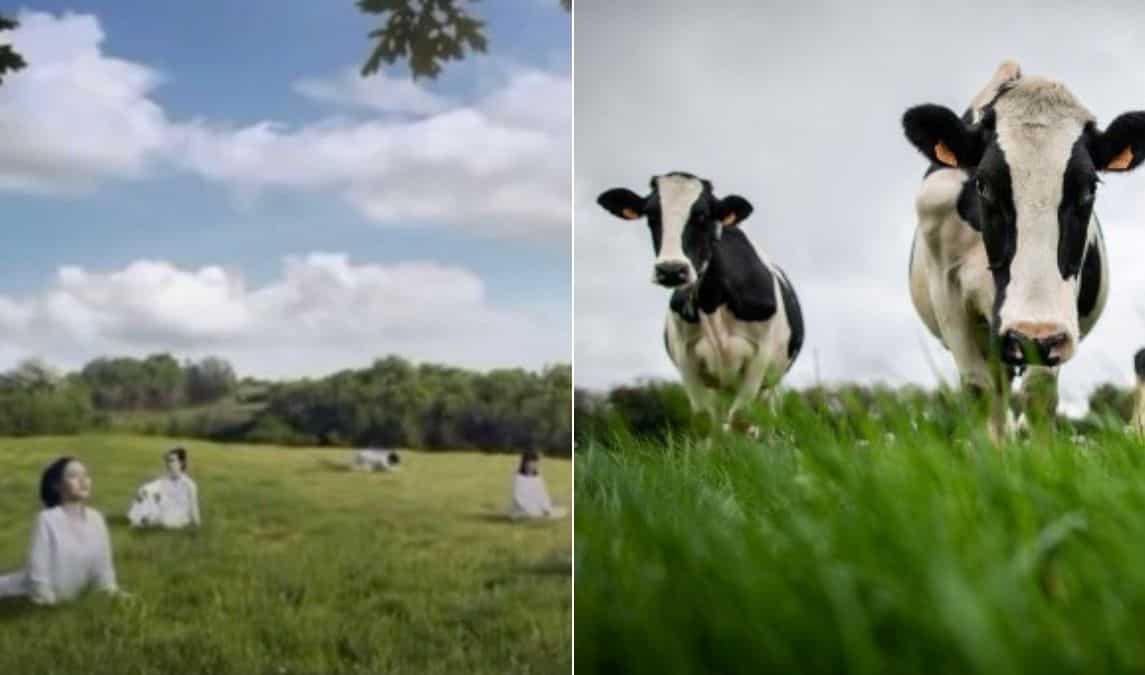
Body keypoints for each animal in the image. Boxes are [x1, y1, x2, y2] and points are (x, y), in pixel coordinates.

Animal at [597, 171, 804, 439]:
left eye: (703, 215)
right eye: (651, 216)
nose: (671, 270)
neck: (712, 301)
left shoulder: (760, 357)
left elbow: (742, 419)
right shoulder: (686, 358)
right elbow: (705, 421)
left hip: (772, 383)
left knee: (765, 419)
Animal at [902, 60, 1145, 442]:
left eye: (1089, 188)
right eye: (983, 185)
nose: (1032, 335)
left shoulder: (1058, 316)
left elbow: (1039, 393)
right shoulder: (948, 291)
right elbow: (978, 389)